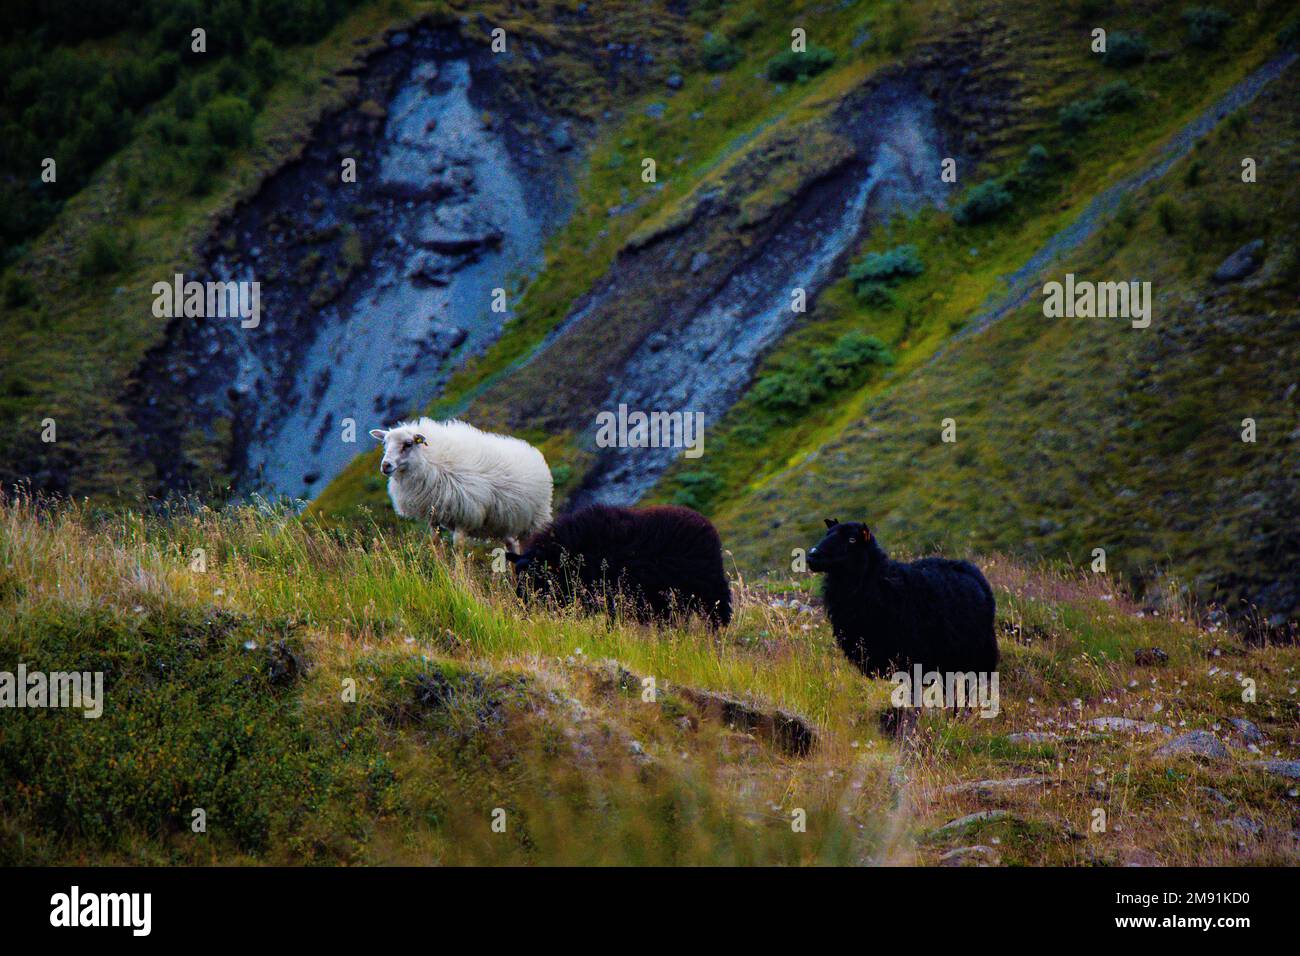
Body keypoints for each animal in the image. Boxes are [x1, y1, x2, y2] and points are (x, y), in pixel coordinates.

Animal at [369, 418, 551, 554]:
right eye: (384, 443)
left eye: (408, 444)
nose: (385, 465)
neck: (429, 461)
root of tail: (533, 451)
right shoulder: (433, 515)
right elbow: (436, 543)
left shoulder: (465, 513)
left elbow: (458, 549)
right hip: (506, 523)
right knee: (512, 546)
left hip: (533, 522)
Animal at [506, 504, 733, 632]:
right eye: (517, 573)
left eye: (536, 576)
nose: (520, 604)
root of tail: (707, 526)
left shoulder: (611, 597)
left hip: (708, 591)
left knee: (716, 616)